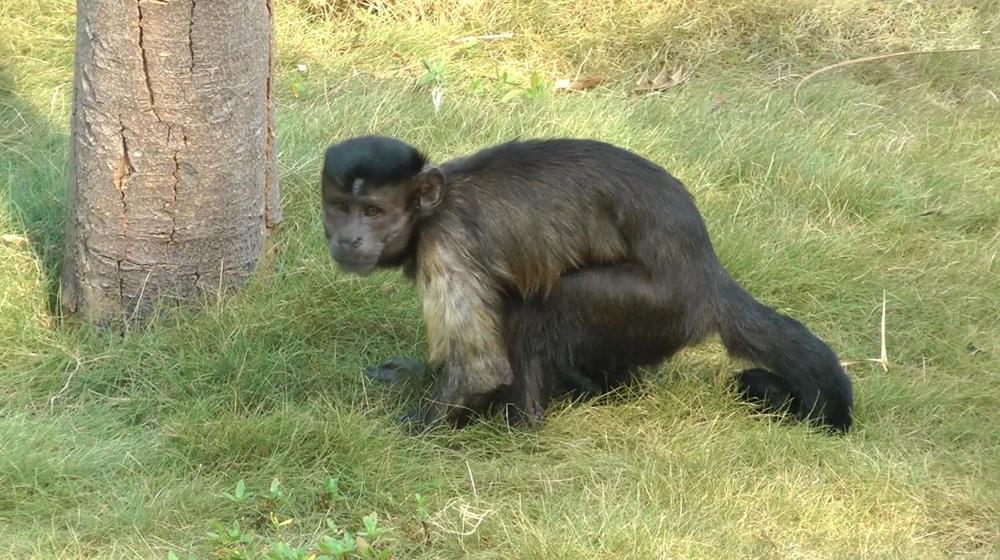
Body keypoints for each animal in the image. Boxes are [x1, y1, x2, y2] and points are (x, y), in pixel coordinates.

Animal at [318, 135, 852, 434]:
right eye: (341, 207)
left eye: (374, 211)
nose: (349, 237)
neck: (431, 211)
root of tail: (710, 278)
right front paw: (416, 377)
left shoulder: (445, 244)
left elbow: (481, 370)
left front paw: (405, 432)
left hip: (659, 305)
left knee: (542, 306)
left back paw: (518, 424)